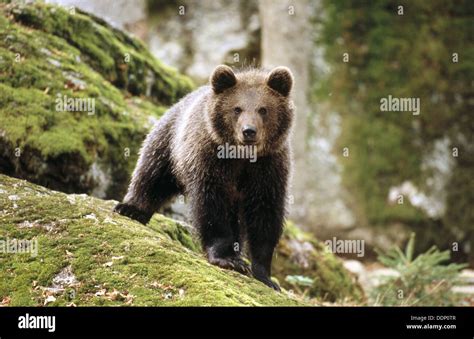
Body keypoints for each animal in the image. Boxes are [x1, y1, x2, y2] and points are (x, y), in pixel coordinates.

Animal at [114, 65, 292, 290]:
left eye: (263, 109)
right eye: (237, 109)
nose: (249, 131)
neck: (241, 156)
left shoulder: (268, 169)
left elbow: (265, 215)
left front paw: (265, 275)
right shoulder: (209, 160)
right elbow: (211, 206)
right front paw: (227, 258)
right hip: (170, 142)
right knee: (152, 173)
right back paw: (131, 208)